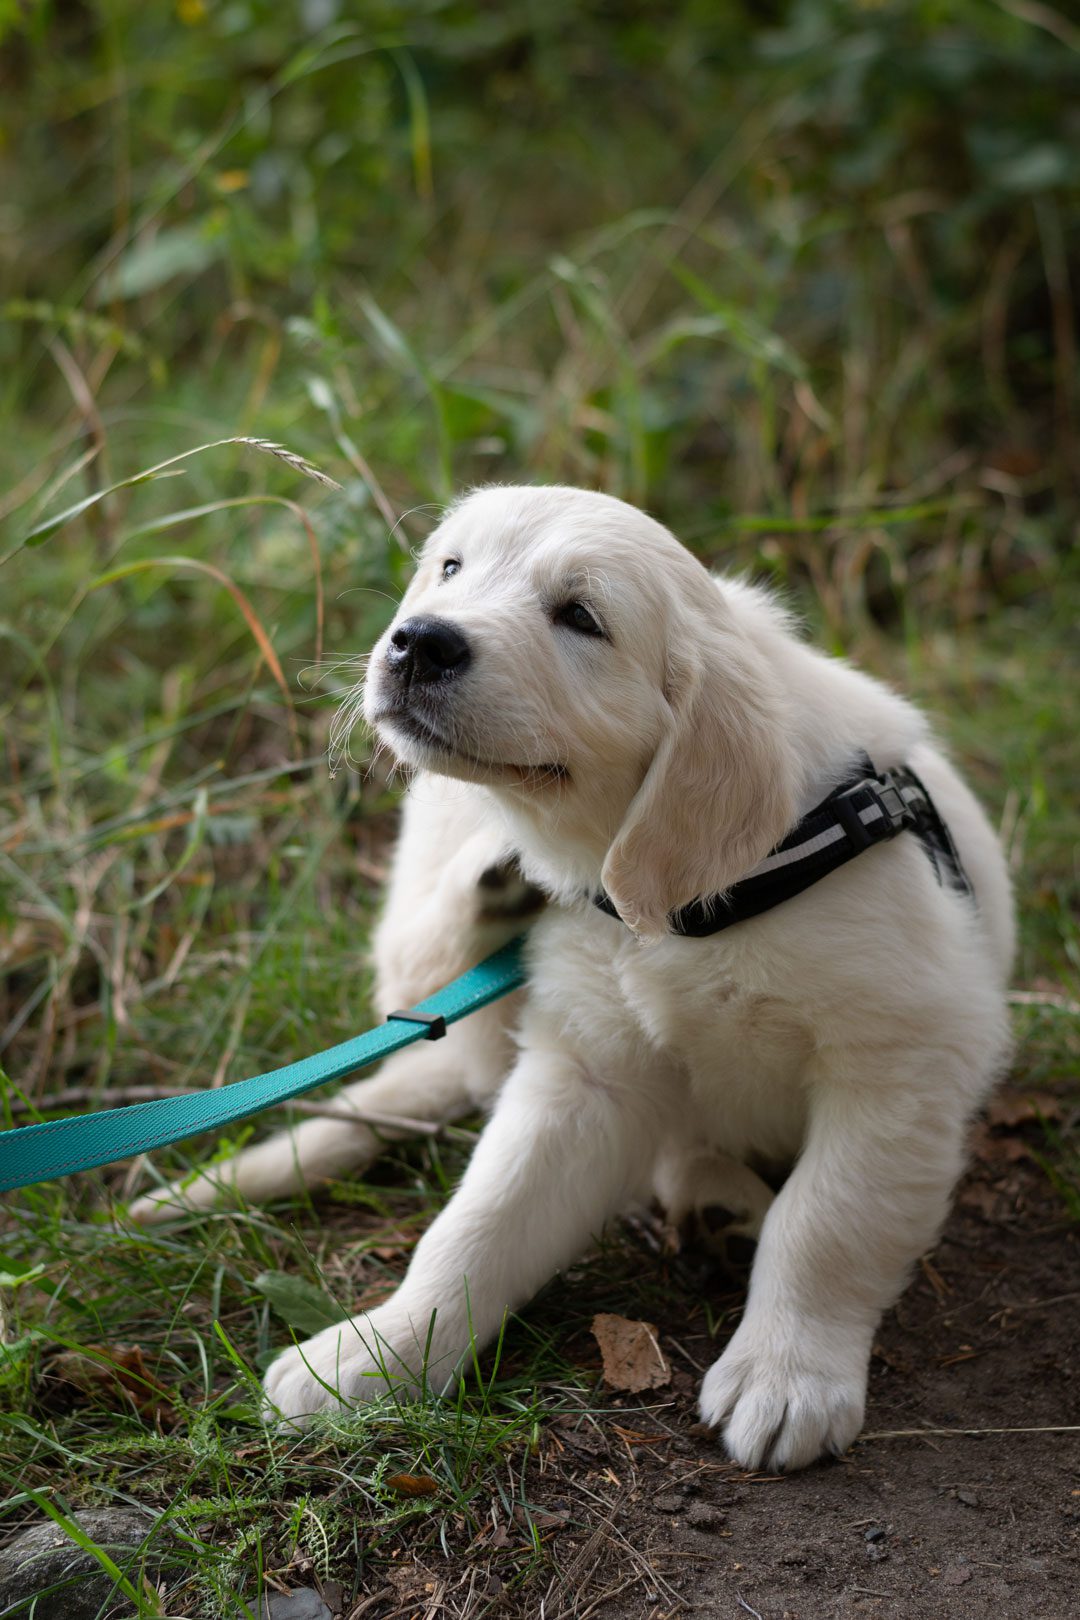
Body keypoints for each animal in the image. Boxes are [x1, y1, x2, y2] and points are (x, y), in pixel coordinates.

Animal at [139, 486, 1016, 1477]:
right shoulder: (586, 1071)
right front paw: (378, 1352)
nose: (417, 641)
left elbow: (828, 1221)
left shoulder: (898, 1064)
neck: (674, 910)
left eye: (581, 617)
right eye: (450, 568)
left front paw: (786, 1373)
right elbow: (479, 1223)